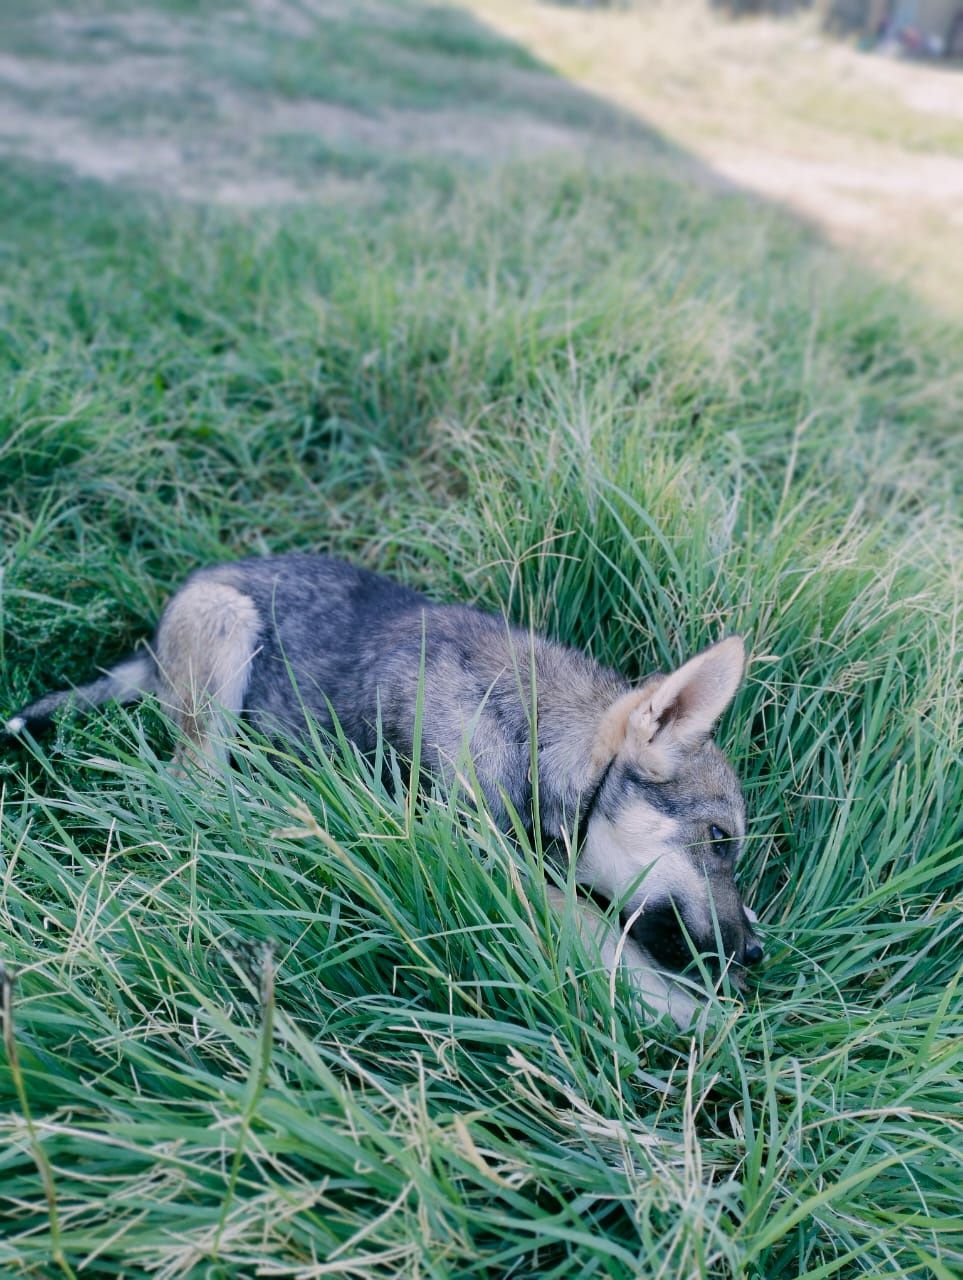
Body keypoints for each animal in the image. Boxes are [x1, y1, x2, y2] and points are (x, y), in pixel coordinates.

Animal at [7, 555, 758, 1024]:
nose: (758, 954)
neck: (531, 729)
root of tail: (151, 646)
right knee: (195, 785)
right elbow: (598, 929)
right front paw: (693, 1015)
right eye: (719, 839)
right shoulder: (488, 858)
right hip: (225, 637)